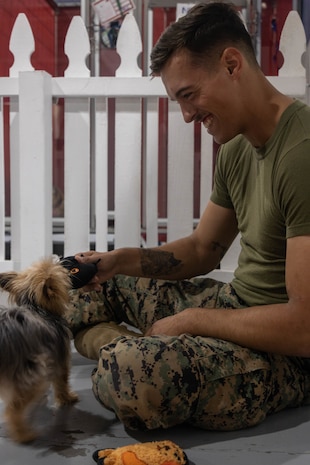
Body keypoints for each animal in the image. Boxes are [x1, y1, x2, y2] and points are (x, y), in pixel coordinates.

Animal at [0, 258, 78, 442]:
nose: (66, 264)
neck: (36, 306)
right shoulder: (61, 358)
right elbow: (62, 382)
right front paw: (68, 398)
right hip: (32, 373)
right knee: (12, 410)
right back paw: (24, 435)